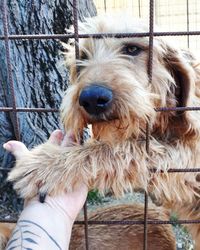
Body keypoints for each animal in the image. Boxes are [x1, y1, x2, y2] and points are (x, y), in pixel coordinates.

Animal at [2, 15, 200, 248]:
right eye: (82, 58)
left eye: (132, 48)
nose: (92, 98)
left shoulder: (190, 157)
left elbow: (128, 150)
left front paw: (46, 165)